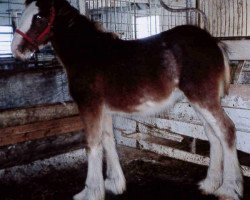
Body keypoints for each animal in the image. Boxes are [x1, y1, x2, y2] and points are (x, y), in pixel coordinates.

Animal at [11, 0, 242, 200]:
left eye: (39, 17)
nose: (16, 50)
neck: (88, 54)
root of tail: (214, 42)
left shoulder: (89, 106)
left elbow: (92, 145)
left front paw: (90, 192)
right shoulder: (103, 110)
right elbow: (108, 141)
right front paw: (114, 184)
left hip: (203, 99)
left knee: (226, 130)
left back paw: (229, 189)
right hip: (198, 102)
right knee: (213, 135)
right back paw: (210, 184)